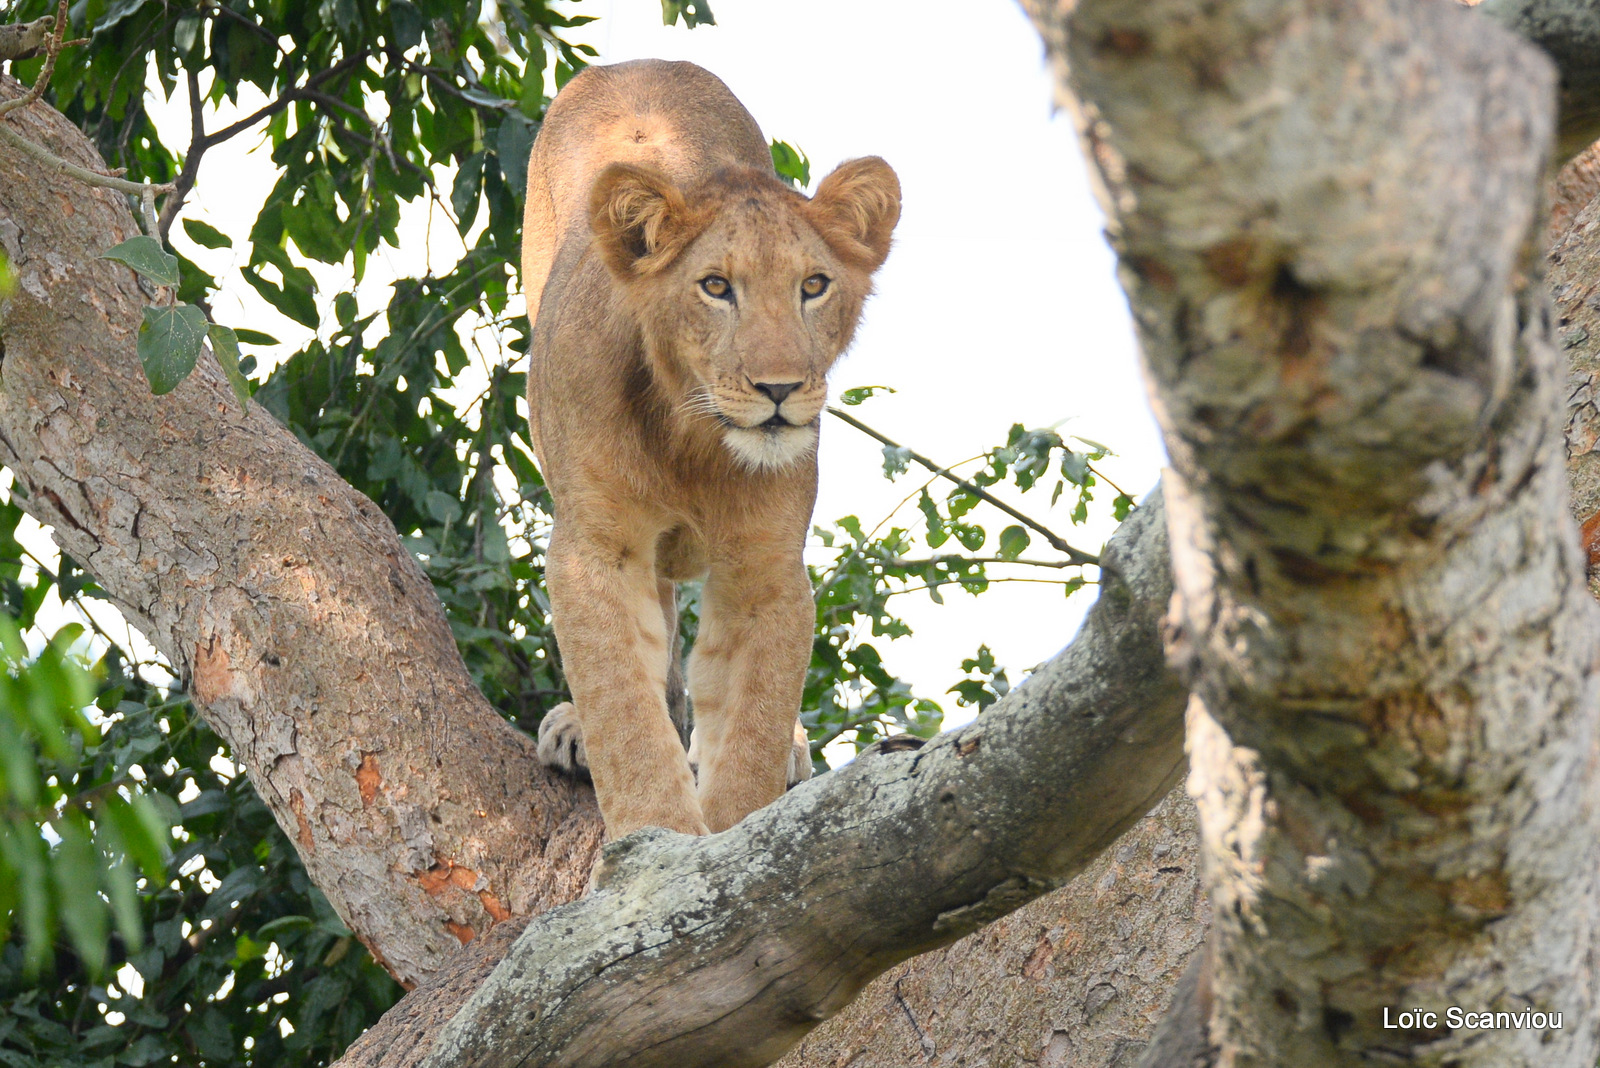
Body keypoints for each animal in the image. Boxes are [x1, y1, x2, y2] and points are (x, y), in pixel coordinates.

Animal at [524, 58, 902, 837]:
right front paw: (649, 840)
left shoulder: (765, 568)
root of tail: (635, 63)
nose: (779, 388)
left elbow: (751, 728)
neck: (690, 433)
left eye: (813, 285)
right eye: (716, 286)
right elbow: (624, 710)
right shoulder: (596, 548)